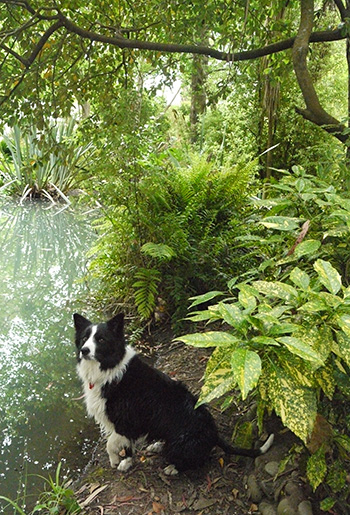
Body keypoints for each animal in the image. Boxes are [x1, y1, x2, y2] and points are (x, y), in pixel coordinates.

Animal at [72, 310, 274, 476]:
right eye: (84, 338)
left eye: (101, 339)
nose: (84, 350)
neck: (108, 368)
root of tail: (214, 434)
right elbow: (124, 445)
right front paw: (126, 461)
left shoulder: (127, 422)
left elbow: (110, 444)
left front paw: (117, 460)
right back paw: (157, 445)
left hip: (180, 444)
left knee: (197, 461)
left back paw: (172, 468)